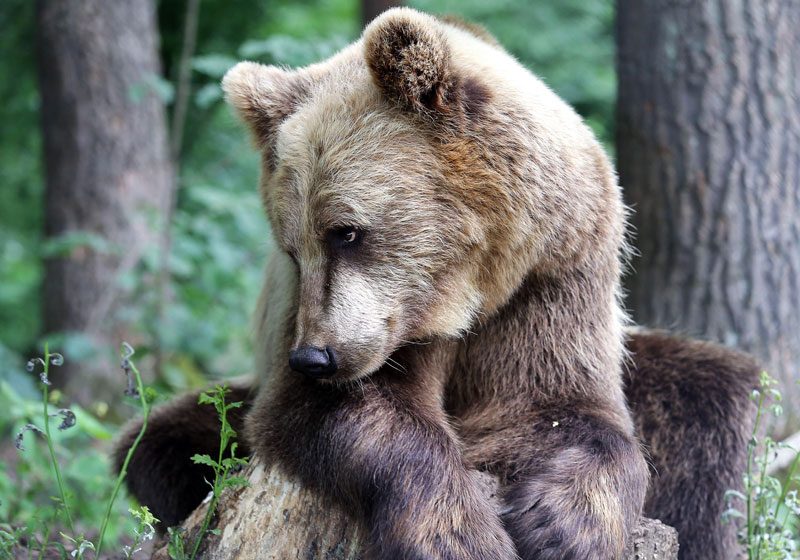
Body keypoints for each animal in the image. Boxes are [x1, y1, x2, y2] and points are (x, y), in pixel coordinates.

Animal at [117, 8, 756, 560]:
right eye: (292, 250)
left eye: (345, 232)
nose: (314, 356)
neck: (471, 286)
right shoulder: (369, 327)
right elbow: (353, 410)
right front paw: (457, 533)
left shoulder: (552, 276)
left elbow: (562, 408)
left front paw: (562, 524)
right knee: (157, 445)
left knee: (710, 397)